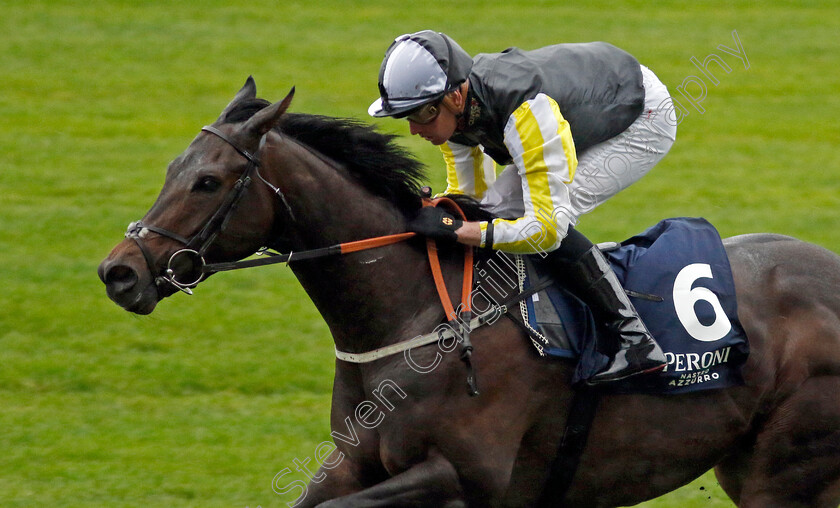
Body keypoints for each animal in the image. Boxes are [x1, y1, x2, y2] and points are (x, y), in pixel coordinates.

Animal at [97, 77, 840, 506]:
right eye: (173, 168)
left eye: (208, 182)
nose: (119, 272)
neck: (412, 319)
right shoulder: (355, 462)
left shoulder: (465, 475)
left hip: (781, 471)